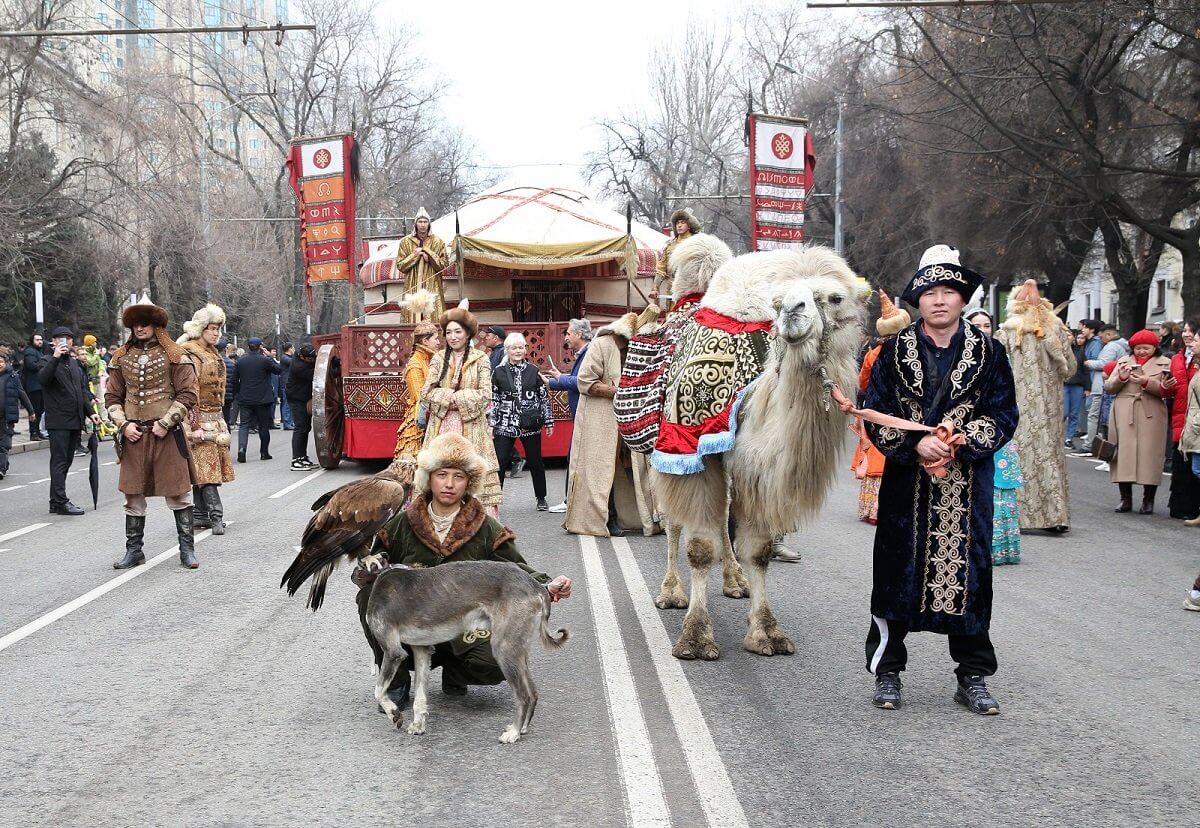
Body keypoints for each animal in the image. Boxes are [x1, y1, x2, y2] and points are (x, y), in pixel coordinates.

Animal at [362, 561, 568, 744]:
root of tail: (537, 586)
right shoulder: (422, 650)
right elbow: (420, 697)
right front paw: (418, 726)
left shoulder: (393, 652)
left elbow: (378, 691)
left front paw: (394, 714)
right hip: (517, 651)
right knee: (533, 692)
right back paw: (522, 728)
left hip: (504, 649)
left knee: (523, 695)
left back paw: (514, 733)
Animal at [648, 244, 864, 657]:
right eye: (777, 302)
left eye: (835, 298)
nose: (792, 310)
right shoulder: (692, 452)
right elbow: (699, 546)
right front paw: (695, 637)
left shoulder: (758, 471)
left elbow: (759, 550)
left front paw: (766, 631)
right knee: (673, 521)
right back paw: (671, 592)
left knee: (722, 518)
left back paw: (735, 581)